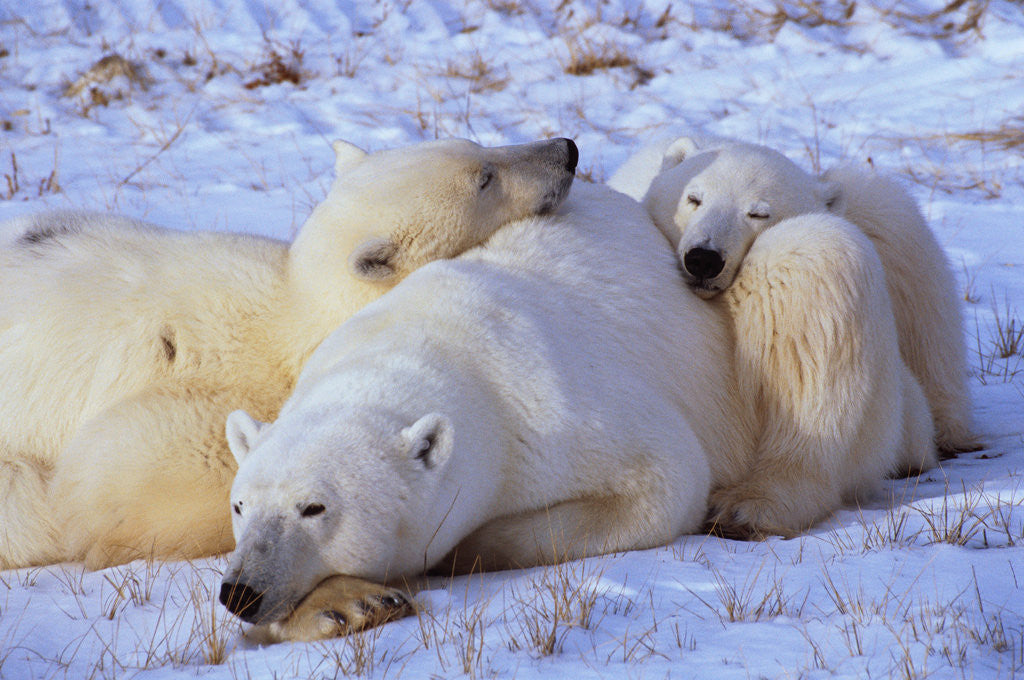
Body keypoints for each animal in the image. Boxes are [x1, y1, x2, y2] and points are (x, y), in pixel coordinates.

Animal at [216, 182, 753, 641]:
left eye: (313, 507)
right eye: (240, 505)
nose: (240, 592)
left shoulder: (558, 409)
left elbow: (665, 480)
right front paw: (349, 605)